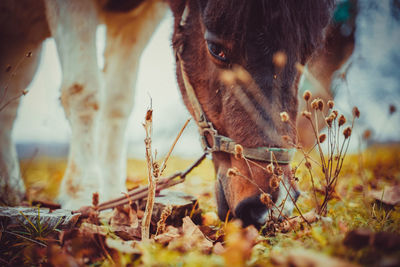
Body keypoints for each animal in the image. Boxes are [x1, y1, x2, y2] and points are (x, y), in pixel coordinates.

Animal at [0, 0, 334, 227]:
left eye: (308, 54)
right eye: (215, 48)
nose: (272, 206)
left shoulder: (138, 20)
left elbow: (117, 101)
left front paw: (112, 196)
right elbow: (86, 92)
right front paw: (83, 194)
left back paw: (9, 189)